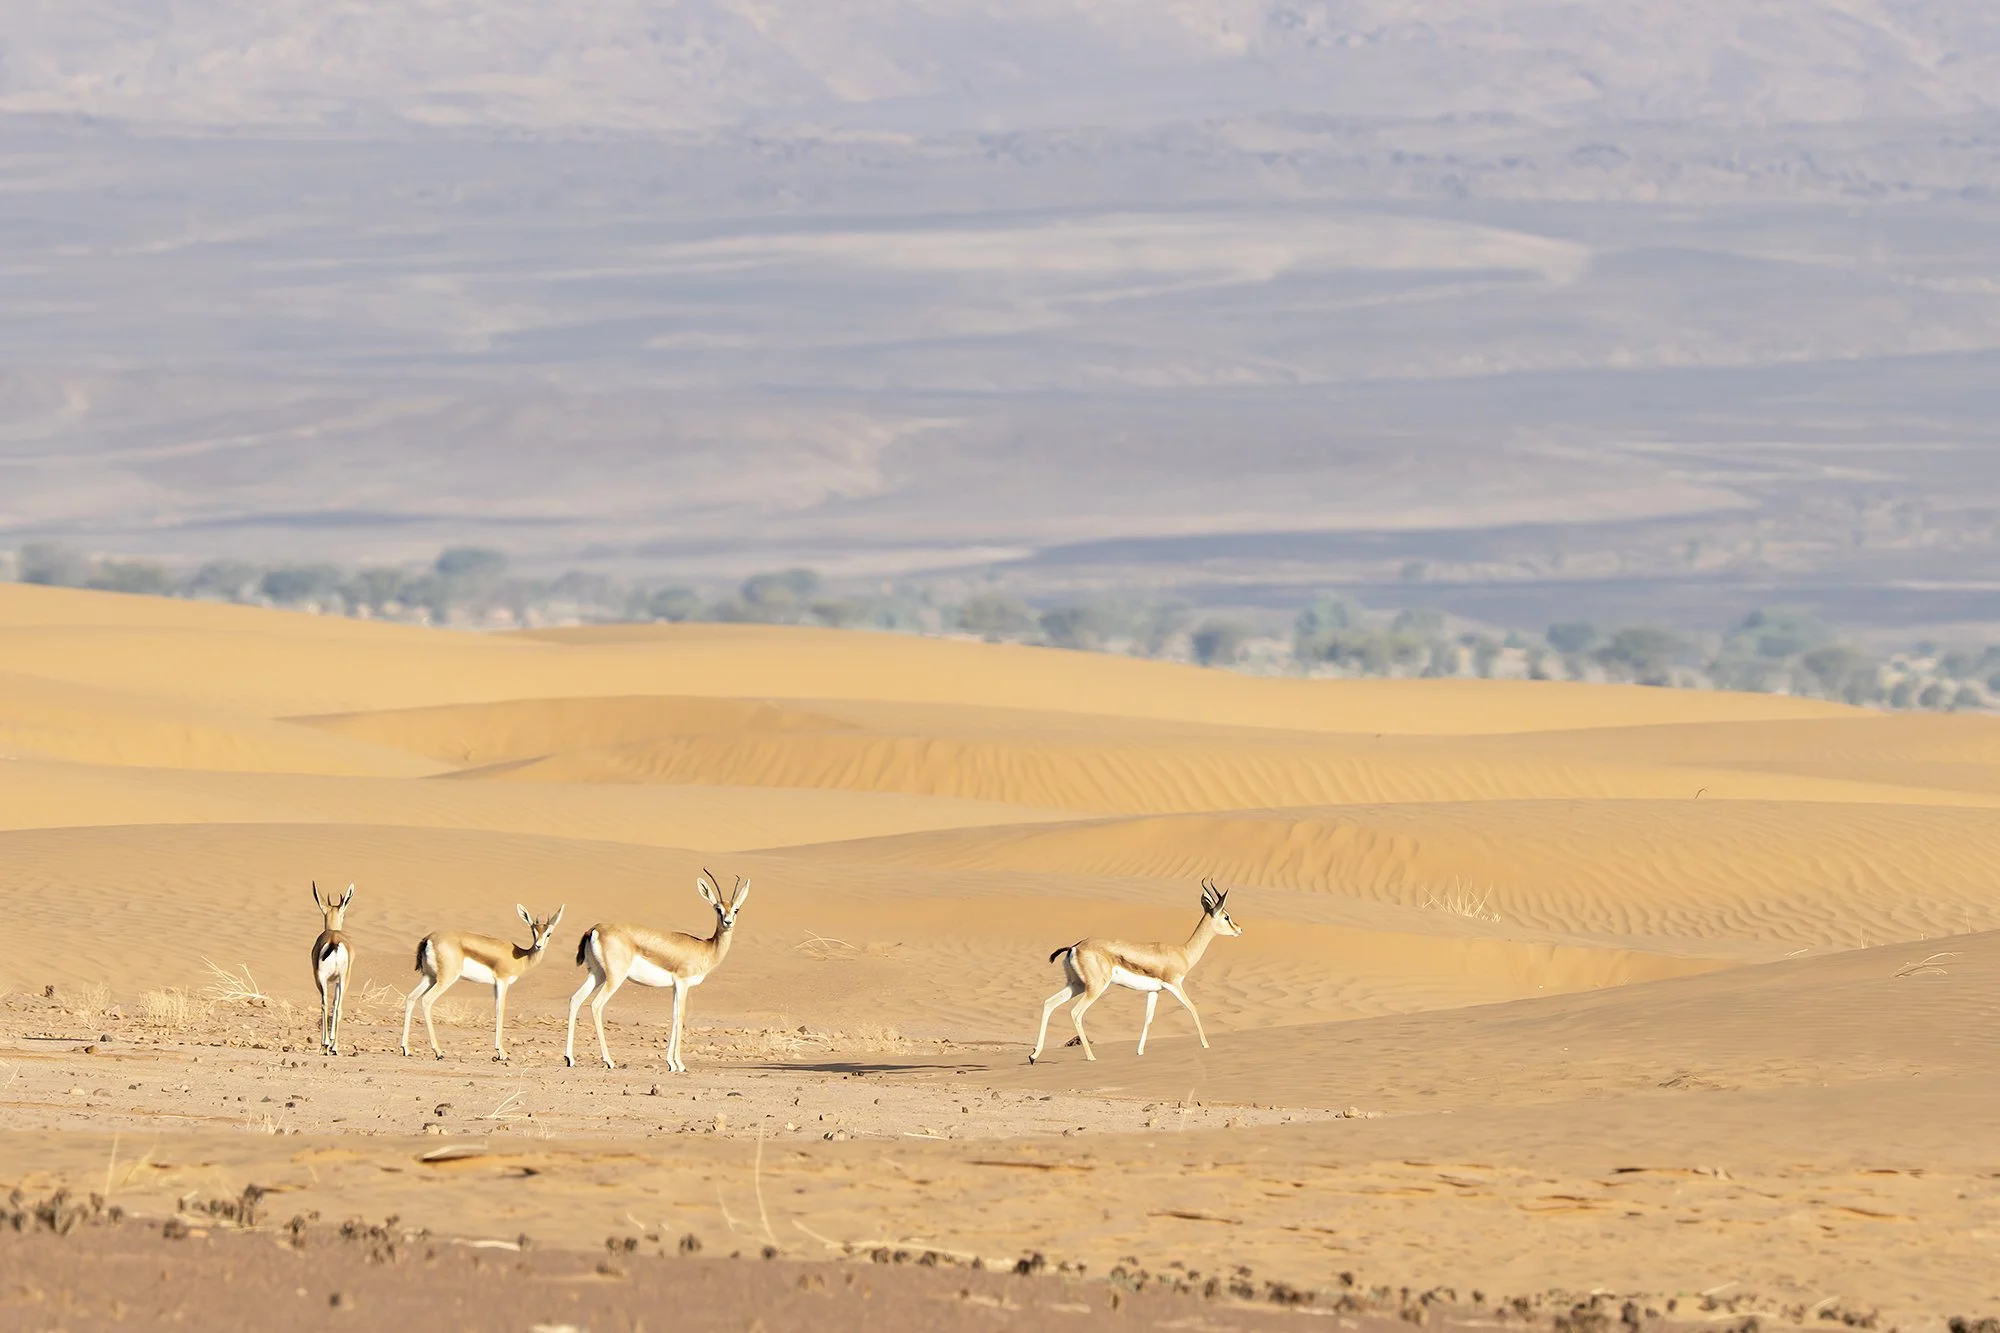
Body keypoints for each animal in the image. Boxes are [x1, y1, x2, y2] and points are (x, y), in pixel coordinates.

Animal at [309, 882, 354, 1056]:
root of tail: (334, 940)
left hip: (325, 979)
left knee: (327, 1004)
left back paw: (327, 1044)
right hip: (340, 979)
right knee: (334, 1006)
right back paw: (330, 1045)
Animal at [401, 904, 565, 1061]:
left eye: (548, 933)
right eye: (533, 932)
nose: (538, 946)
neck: (521, 957)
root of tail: (428, 938)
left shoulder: (495, 985)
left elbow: (497, 1008)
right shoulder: (503, 981)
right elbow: (500, 1009)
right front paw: (502, 1053)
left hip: (429, 977)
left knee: (411, 997)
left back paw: (406, 1049)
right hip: (445, 979)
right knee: (426, 1000)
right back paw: (438, 1052)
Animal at [565, 870, 749, 1072]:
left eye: (736, 909)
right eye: (718, 908)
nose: (727, 922)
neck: (705, 948)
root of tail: (595, 928)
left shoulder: (675, 986)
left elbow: (674, 1016)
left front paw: (671, 1063)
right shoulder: (683, 983)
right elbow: (681, 1016)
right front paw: (680, 1064)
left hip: (597, 974)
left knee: (575, 999)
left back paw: (570, 1059)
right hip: (614, 978)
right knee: (596, 1005)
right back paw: (609, 1061)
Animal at [1029, 878, 1241, 1063]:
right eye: (1226, 916)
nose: (1239, 929)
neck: (1182, 952)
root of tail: (1075, 947)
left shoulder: (1154, 991)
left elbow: (1148, 1019)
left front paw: (1139, 1051)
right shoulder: (1174, 985)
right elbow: (1192, 1008)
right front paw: (1206, 1045)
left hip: (1077, 985)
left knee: (1049, 1003)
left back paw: (1033, 1056)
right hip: (1095, 988)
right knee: (1076, 1012)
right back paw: (1090, 1057)